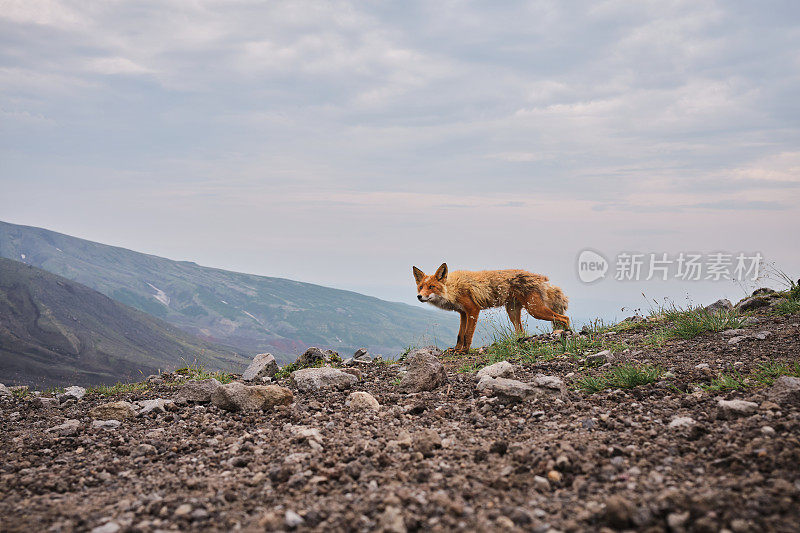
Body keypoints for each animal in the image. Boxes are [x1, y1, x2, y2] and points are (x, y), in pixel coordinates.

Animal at [412, 262, 568, 354]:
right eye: (421, 287)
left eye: (431, 287)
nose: (419, 296)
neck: (453, 289)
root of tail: (540, 278)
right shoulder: (463, 313)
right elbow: (460, 335)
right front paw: (456, 349)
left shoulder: (473, 310)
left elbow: (468, 334)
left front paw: (464, 351)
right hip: (513, 312)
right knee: (521, 331)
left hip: (535, 310)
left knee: (564, 318)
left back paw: (566, 333)